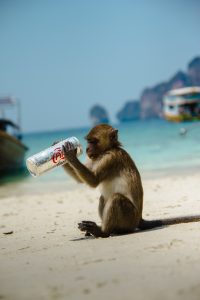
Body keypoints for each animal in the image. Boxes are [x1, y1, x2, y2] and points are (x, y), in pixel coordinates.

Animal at [59, 123, 200, 238]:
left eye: (93, 142)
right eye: (88, 142)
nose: (87, 149)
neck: (109, 149)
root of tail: (139, 218)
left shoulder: (111, 158)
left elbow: (94, 181)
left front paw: (69, 155)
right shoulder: (93, 157)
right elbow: (82, 180)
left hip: (130, 218)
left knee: (115, 198)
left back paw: (103, 232)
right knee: (104, 198)